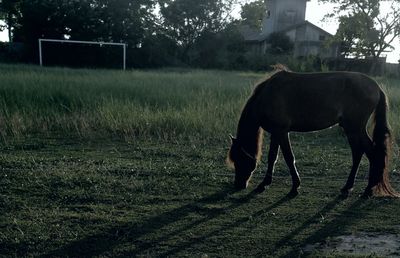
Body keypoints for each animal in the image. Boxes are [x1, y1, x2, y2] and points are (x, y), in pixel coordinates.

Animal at [227, 66, 398, 198]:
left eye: (239, 160)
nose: (238, 185)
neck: (267, 96)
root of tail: (376, 86)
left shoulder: (281, 132)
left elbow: (289, 158)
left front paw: (295, 187)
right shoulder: (276, 133)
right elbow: (272, 158)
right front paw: (264, 184)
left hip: (355, 128)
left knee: (371, 153)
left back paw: (368, 189)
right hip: (351, 130)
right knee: (358, 153)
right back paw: (348, 187)